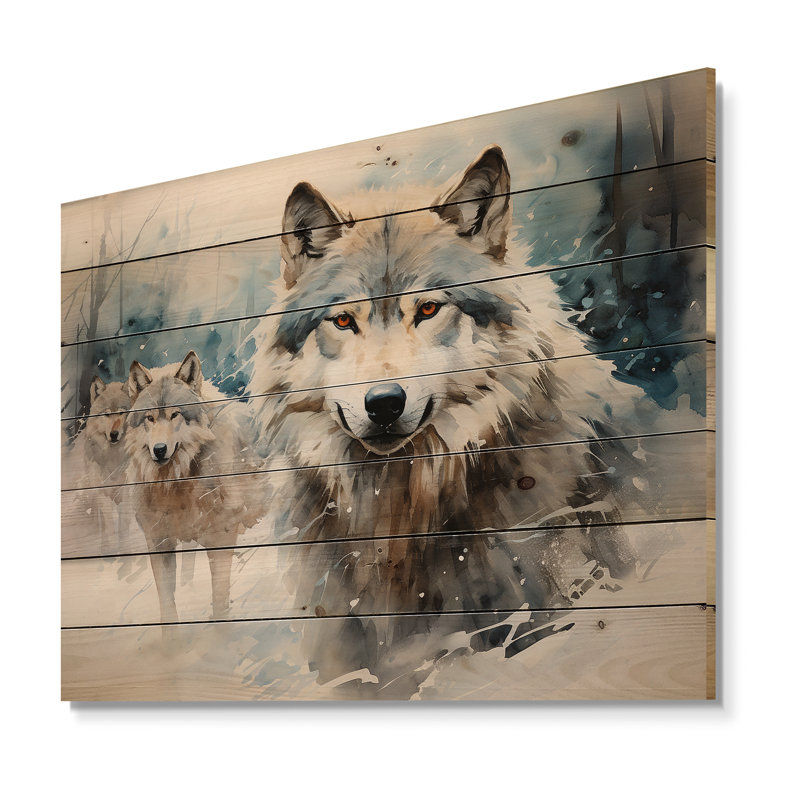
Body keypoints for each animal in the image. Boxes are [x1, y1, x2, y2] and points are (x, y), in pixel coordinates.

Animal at [125, 351, 262, 623]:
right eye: (150, 418)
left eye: (175, 415)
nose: (159, 450)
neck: (175, 483)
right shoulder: (158, 541)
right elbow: (167, 607)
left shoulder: (222, 539)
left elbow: (220, 604)